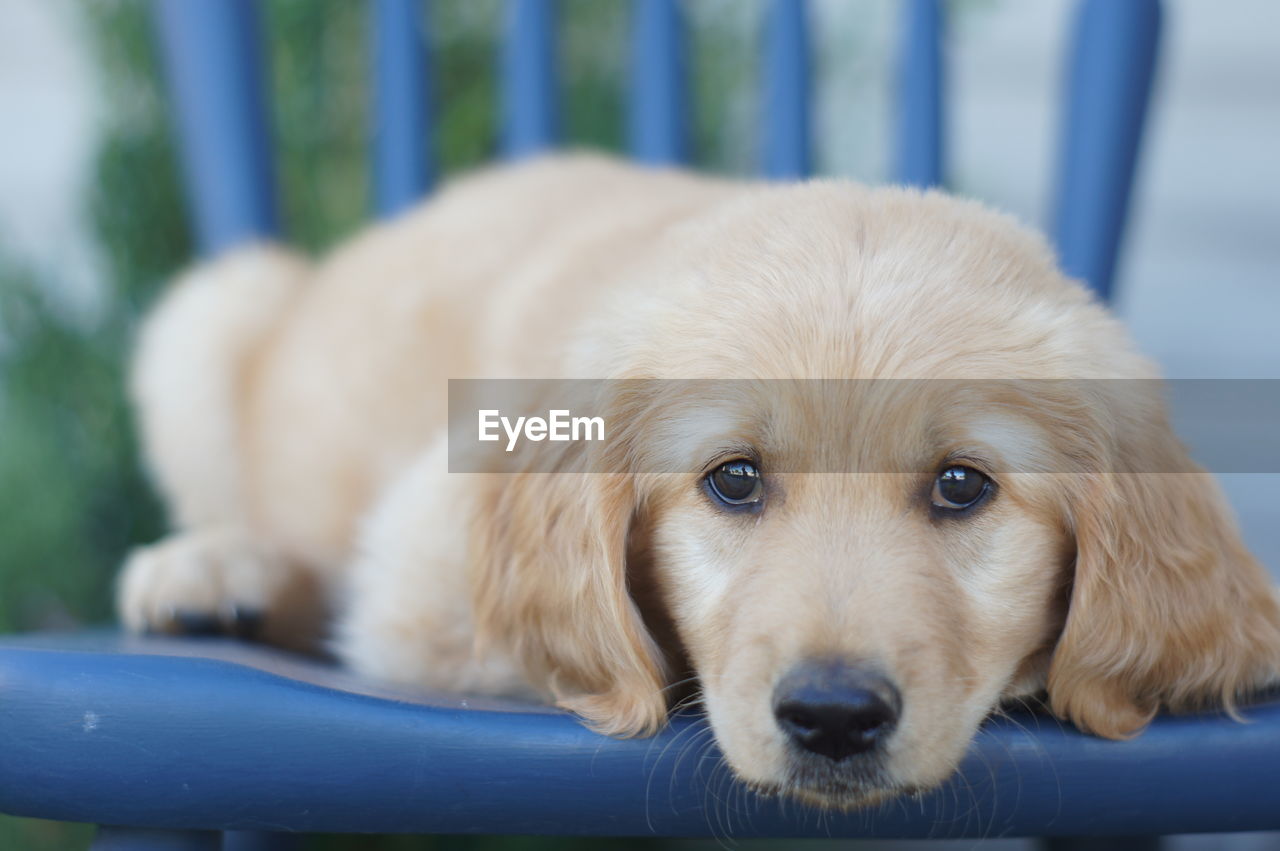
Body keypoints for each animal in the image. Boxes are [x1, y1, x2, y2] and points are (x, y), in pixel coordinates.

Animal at [115, 154, 1274, 808]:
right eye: (733, 480)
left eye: (961, 485)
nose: (832, 717)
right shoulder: (419, 579)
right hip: (204, 316)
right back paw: (214, 572)